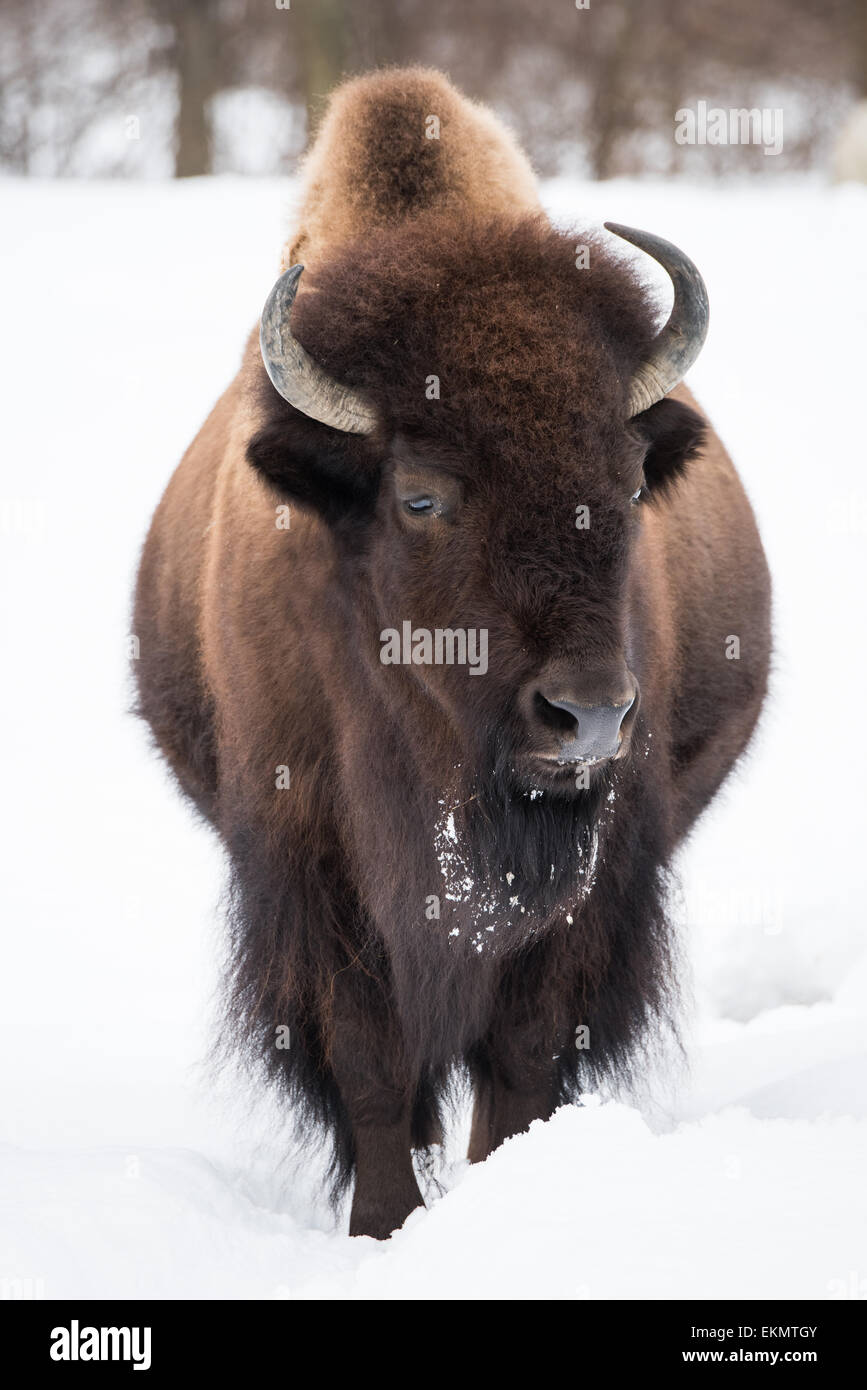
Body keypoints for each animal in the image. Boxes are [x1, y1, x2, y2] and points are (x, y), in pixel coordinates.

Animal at [134, 68, 771, 1238]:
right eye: (422, 495)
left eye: (626, 481)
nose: (587, 716)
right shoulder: (314, 863)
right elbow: (373, 1060)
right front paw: (384, 1226)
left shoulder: (589, 874)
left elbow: (523, 1051)